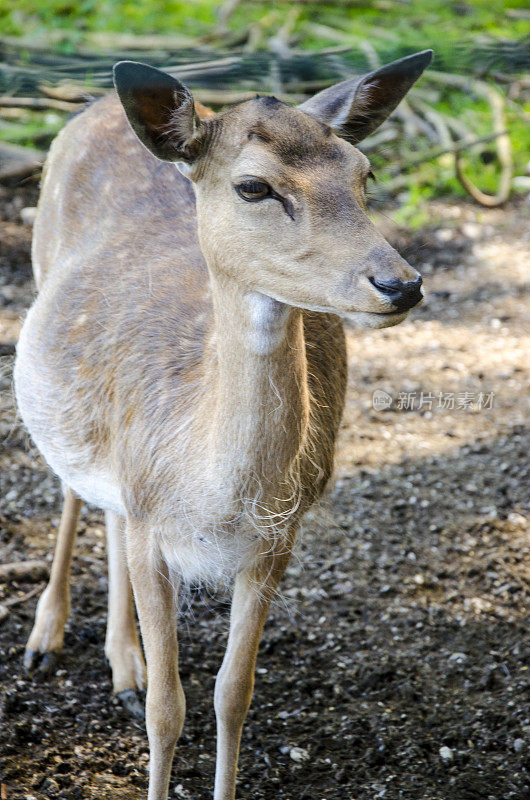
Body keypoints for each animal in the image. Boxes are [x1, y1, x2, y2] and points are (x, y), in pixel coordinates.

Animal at [14, 51, 432, 800]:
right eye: (254, 186)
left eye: (365, 173)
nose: (401, 284)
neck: (217, 497)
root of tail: (94, 106)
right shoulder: (154, 531)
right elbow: (168, 708)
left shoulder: (275, 544)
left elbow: (233, 694)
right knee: (70, 486)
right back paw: (46, 638)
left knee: (108, 512)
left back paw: (123, 665)